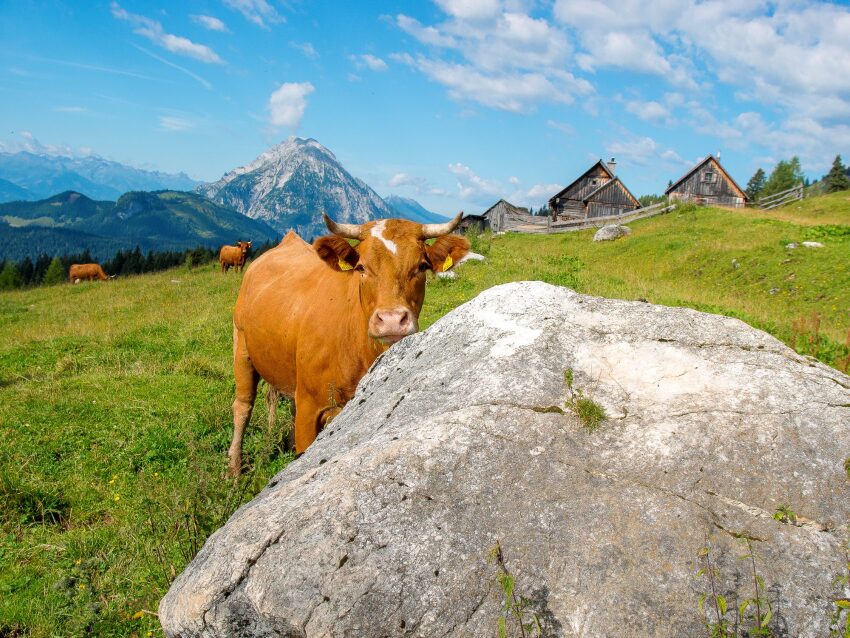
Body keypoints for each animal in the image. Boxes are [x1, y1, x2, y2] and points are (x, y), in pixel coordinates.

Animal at [227, 213, 470, 476]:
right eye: (361, 267)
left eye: (422, 266)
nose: (392, 320)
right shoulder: (309, 408)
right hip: (241, 346)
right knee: (243, 407)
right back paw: (234, 470)